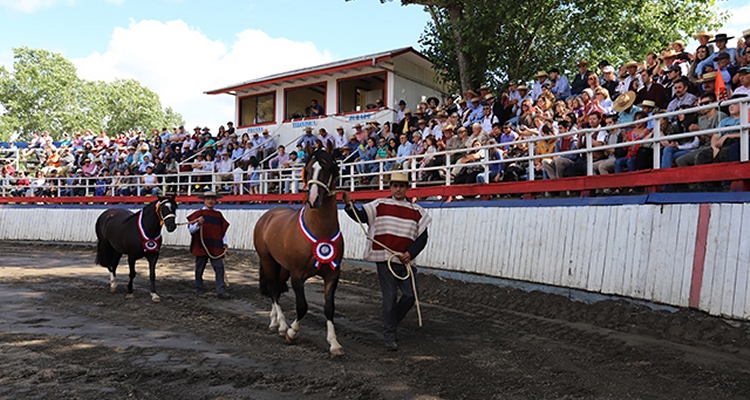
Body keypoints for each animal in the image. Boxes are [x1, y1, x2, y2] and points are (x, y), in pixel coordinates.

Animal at [254, 148, 346, 354]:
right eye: (308, 169)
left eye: (328, 167)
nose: (313, 199)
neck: (320, 232)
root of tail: (268, 215)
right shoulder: (297, 275)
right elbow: (302, 306)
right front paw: (291, 333)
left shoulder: (332, 274)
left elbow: (329, 307)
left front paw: (334, 343)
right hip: (268, 260)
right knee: (273, 289)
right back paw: (281, 325)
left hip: (283, 267)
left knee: (277, 289)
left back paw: (274, 321)